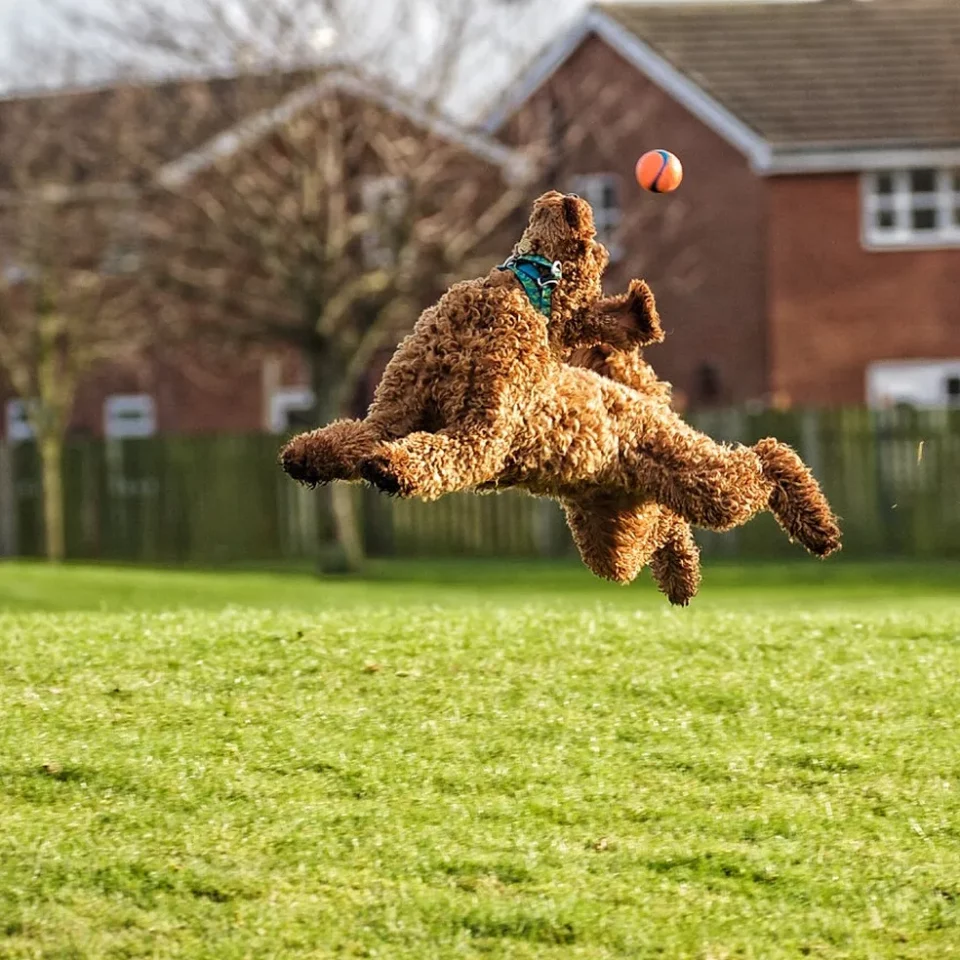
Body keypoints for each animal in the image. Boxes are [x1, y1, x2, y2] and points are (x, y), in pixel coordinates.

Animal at [284, 190, 840, 596]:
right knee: (662, 528)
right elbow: (348, 436)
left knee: (764, 459)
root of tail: (637, 394)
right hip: (612, 532)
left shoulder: (482, 434)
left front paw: (391, 467)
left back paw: (817, 526)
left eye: (596, 250)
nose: (574, 200)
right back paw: (683, 575)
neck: (523, 294)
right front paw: (306, 456)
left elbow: (437, 453)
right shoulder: (392, 414)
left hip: (697, 481)